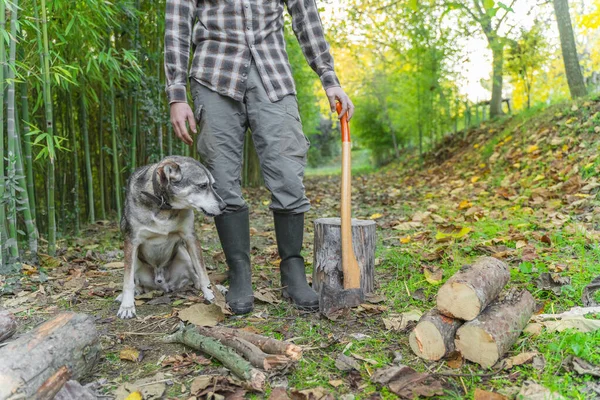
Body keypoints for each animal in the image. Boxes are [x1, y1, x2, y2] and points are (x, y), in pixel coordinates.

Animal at [116, 156, 226, 318]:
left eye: (212, 185)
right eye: (202, 185)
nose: (224, 206)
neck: (163, 206)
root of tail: (163, 284)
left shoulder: (190, 238)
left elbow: (202, 272)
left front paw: (211, 294)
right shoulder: (131, 242)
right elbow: (127, 281)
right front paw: (127, 306)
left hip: (184, 254)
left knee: (195, 276)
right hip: (135, 261)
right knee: (137, 283)